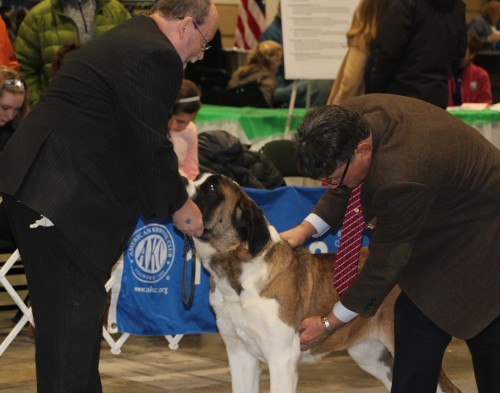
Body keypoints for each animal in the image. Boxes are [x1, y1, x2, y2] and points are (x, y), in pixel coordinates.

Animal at [188, 174, 460, 392]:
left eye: (211, 188)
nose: (184, 180)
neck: (235, 270)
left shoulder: (281, 358)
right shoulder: (240, 355)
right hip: (369, 353)